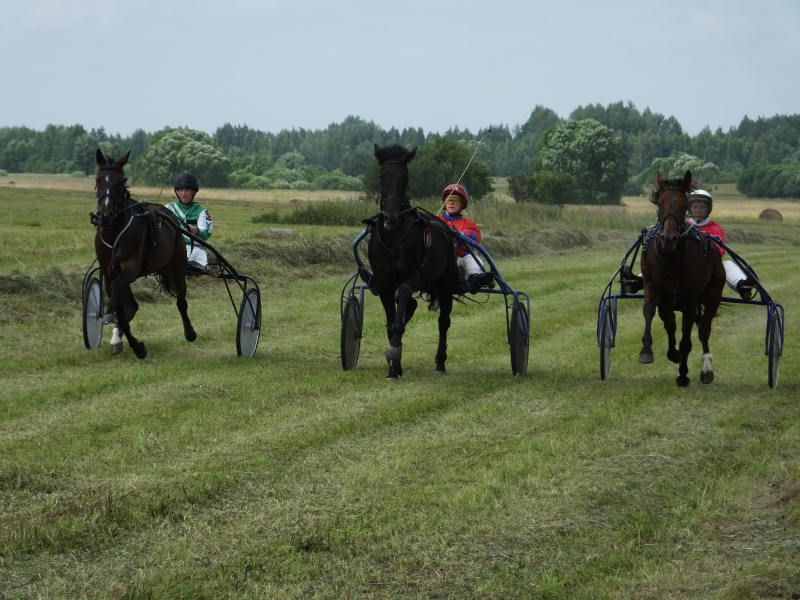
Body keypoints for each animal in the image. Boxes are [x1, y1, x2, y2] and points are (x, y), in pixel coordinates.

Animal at [91, 148, 195, 358]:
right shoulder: (109, 273)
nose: (105, 216)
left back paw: (190, 332)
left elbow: (119, 298)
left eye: (121, 180)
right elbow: (121, 312)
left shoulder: (131, 268)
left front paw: (110, 316)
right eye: (98, 180)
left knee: (181, 301)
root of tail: (169, 214)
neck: (115, 234)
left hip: (177, 265)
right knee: (132, 305)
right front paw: (137, 346)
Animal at [364, 144, 456, 380]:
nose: (391, 217)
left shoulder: (414, 276)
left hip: (445, 283)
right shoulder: (383, 283)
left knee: (444, 322)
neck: (393, 238)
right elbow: (391, 320)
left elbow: (403, 295)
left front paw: (394, 349)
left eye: (405, 176)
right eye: (382, 175)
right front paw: (393, 367)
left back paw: (440, 363)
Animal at [640, 172, 728, 390]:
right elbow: (655, 315)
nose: (668, 238)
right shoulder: (655, 290)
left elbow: (686, 340)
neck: (671, 257)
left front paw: (683, 375)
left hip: (714, 293)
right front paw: (648, 352)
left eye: (684, 205)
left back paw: (706, 369)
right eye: (660, 203)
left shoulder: (690, 300)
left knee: (704, 329)